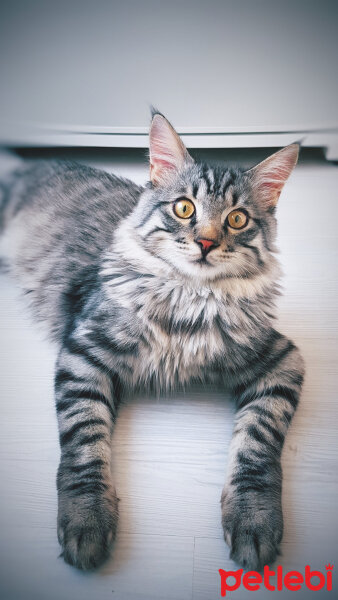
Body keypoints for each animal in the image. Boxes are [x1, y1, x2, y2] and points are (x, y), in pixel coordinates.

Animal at [0, 111, 304, 572]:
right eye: (184, 208)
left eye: (237, 219)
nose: (206, 242)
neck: (188, 301)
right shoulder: (84, 352)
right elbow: (84, 443)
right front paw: (87, 520)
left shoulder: (280, 361)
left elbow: (257, 446)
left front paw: (254, 520)